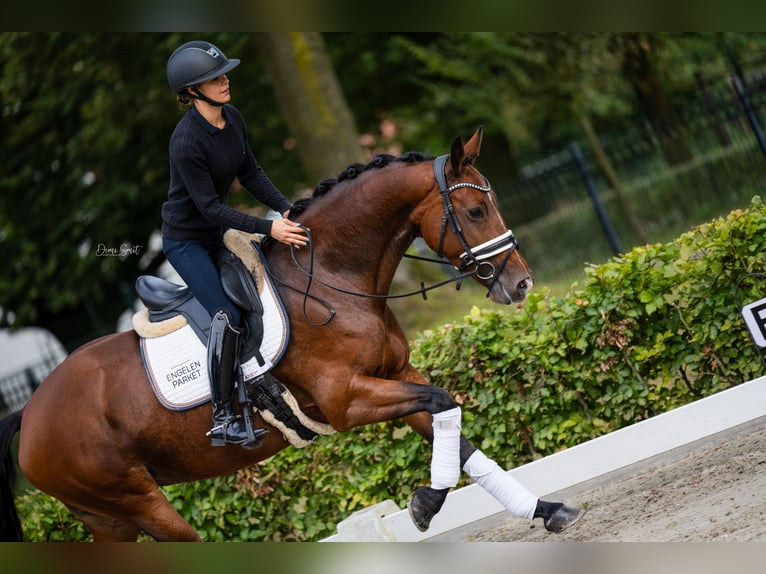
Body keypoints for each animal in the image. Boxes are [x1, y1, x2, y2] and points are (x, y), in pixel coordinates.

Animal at [0, 128, 584, 544]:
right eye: (476, 210)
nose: (522, 283)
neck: (332, 277)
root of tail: (31, 413)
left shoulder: (397, 375)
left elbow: (453, 428)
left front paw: (547, 510)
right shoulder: (348, 400)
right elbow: (443, 405)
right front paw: (425, 504)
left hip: (109, 518)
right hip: (136, 500)